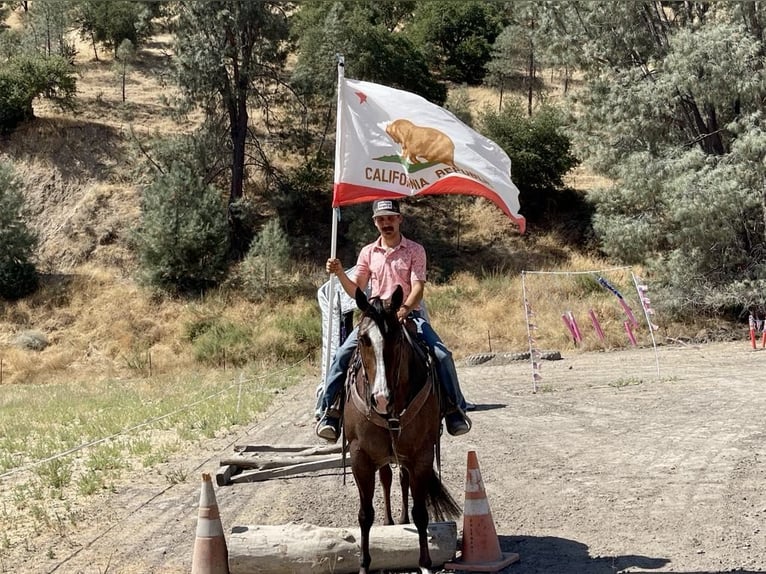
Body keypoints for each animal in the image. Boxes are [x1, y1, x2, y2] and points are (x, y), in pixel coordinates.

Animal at [344, 286, 462, 574]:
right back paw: (389, 522)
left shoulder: (421, 455)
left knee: (401, 479)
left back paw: (401, 518)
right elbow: (365, 515)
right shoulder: (360, 457)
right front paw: (364, 565)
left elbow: (421, 513)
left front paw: (425, 564)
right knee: (387, 478)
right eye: (363, 339)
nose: (380, 398)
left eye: (396, 337)